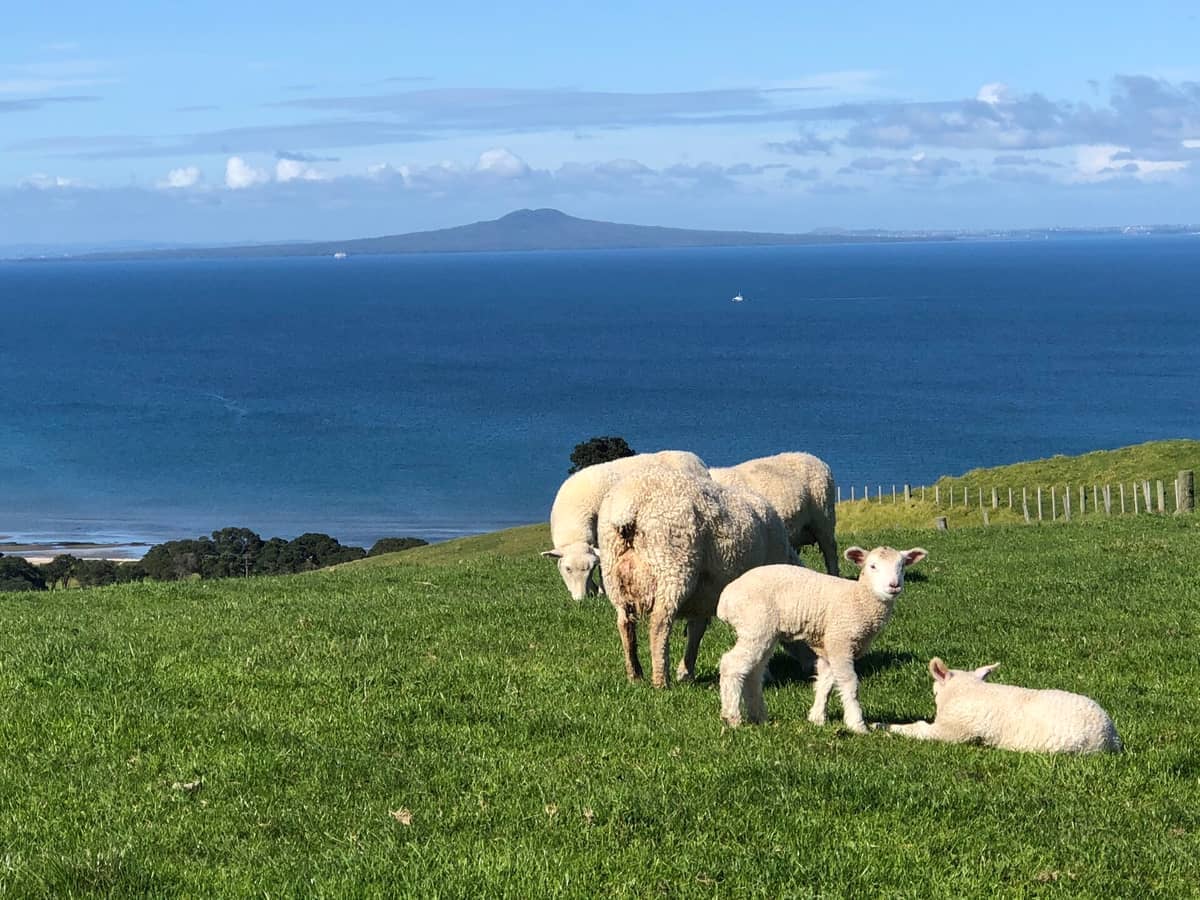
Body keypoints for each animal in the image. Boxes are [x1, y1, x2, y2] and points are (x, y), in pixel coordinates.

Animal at [598, 465, 799, 688]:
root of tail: (628, 506)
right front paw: (765, 674)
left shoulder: (703, 597)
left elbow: (696, 631)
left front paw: (686, 672)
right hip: (673, 568)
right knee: (659, 622)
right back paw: (661, 681)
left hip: (614, 575)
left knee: (625, 623)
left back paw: (635, 675)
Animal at [717, 545, 927, 732]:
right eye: (872, 566)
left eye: (902, 566)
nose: (894, 585)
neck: (859, 599)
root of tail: (725, 599)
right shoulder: (840, 641)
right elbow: (850, 683)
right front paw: (857, 724)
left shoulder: (829, 647)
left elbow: (825, 682)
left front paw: (817, 718)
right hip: (756, 624)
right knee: (731, 664)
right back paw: (732, 717)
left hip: (764, 632)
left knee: (753, 671)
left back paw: (758, 716)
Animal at [883, 658, 1122, 754]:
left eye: (934, 692)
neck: (968, 689)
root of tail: (1111, 737)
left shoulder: (952, 731)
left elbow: (918, 728)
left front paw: (886, 728)